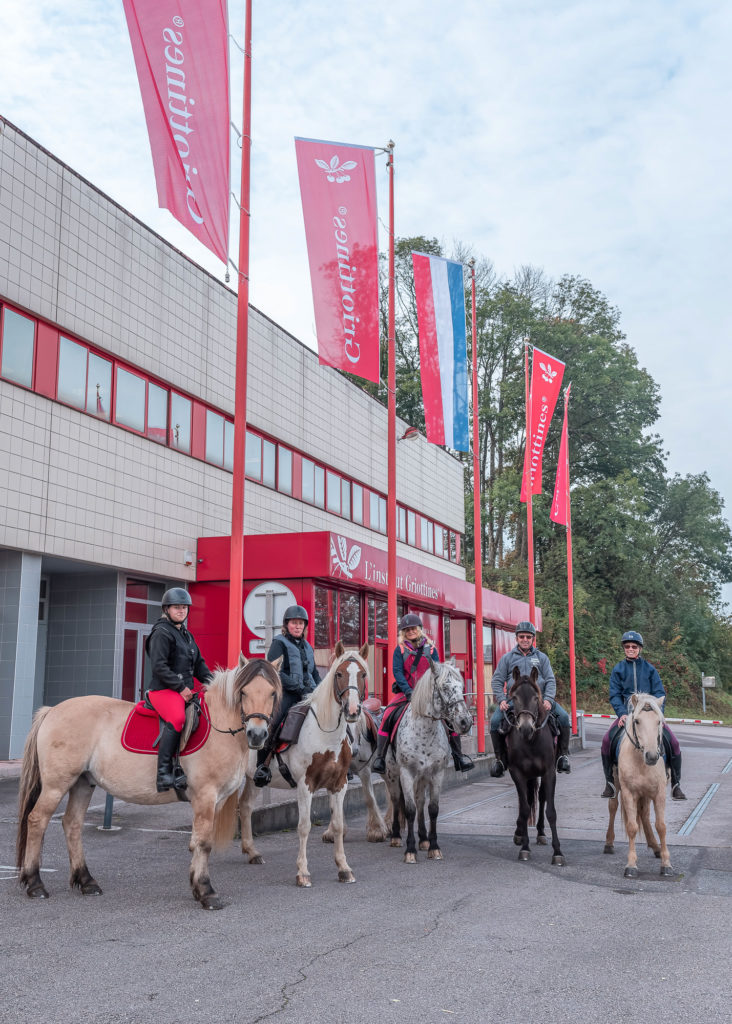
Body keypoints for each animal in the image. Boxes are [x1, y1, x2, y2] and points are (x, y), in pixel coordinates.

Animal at [17, 651, 280, 909]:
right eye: (243, 692)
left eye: (272, 692)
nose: (257, 734)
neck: (219, 726)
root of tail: (52, 710)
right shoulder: (205, 795)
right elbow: (204, 842)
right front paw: (207, 892)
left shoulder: (216, 800)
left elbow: (199, 841)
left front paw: (197, 887)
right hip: (56, 785)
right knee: (37, 820)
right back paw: (35, 883)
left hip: (83, 783)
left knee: (72, 823)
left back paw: (86, 881)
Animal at [237, 643, 368, 884]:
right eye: (339, 674)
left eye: (363, 674)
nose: (352, 710)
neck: (324, 733)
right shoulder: (305, 785)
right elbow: (304, 826)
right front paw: (303, 872)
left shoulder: (339, 785)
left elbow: (338, 825)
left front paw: (344, 868)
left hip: (252, 779)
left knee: (246, 805)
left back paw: (252, 852)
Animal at [503, 667, 565, 868]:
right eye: (514, 698)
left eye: (536, 698)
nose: (525, 728)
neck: (531, 741)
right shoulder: (518, 774)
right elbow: (524, 809)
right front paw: (524, 847)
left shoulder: (549, 773)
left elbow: (551, 811)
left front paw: (558, 852)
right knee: (528, 800)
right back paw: (520, 834)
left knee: (541, 798)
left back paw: (540, 833)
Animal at [606, 688, 671, 880]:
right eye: (637, 721)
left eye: (659, 721)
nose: (652, 756)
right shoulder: (629, 793)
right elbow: (632, 827)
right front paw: (631, 865)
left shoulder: (659, 793)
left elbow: (661, 826)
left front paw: (666, 863)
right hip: (616, 786)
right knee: (613, 806)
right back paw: (609, 842)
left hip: (647, 794)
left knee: (645, 814)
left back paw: (655, 847)